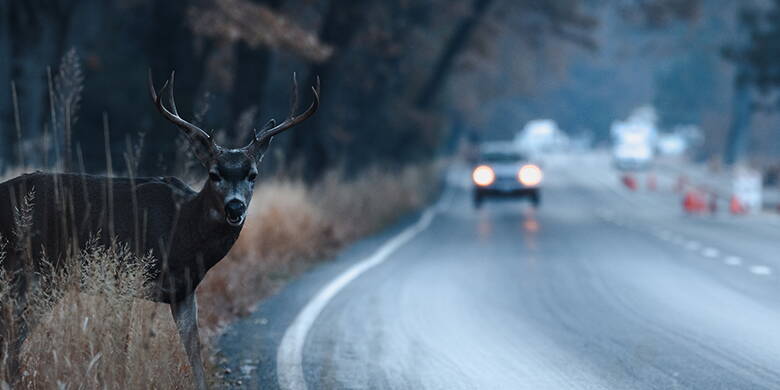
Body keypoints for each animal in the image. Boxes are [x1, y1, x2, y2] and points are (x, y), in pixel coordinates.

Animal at [0, 68, 320, 388]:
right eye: (214, 174)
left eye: (253, 174)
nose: (235, 207)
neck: (182, 234)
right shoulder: (126, 273)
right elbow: (122, 345)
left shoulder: (184, 290)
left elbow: (194, 350)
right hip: (32, 268)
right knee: (13, 331)